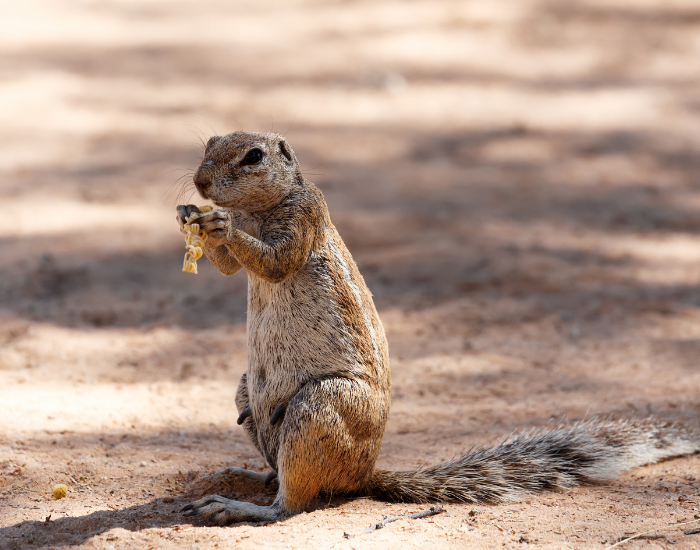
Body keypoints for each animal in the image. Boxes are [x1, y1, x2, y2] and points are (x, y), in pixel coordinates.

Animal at [175, 131, 699, 525]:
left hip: (321, 405)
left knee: (294, 503)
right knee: (276, 466)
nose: (199, 182)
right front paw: (188, 217)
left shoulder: (304, 218)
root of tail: (363, 476)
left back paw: (237, 504)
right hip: (248, 389)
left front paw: (219, 224)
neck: (259, 208)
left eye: (253, 156)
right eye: (210, 142)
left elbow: (275, 261)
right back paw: (244, 475)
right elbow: (228, 267)